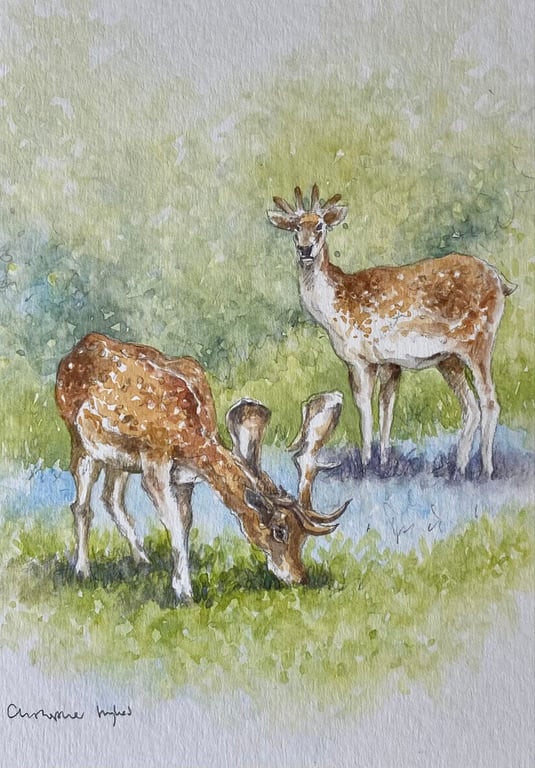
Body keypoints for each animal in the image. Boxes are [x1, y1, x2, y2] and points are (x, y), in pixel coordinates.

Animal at [55, 333, 348, 604]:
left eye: (303, 538)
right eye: (280, 531)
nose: (300, 577)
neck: (192, 439)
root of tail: (78, 347)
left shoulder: (184, 477)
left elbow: (185, 524)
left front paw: (179, 583)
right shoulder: (154, 459)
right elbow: (172, 522)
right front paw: (185, 593)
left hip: (119, 460)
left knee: (111, 498)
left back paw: (143, 561)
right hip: (80, 441)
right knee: (81, 506)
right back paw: (82, 571)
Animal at [267, 185, 517, 479]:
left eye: (320, 225)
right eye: (295, 227)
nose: (305, 249)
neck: (335, 308)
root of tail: (501, 281)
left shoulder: (360, 359)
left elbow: (365, 409)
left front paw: (366, 464)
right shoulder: (389, 363)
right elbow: (386, 409)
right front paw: (385, 463)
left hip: (479, 342)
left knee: (490, 402)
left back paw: (486, 470)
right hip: (449, 360)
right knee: (472, 407)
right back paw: (459, 468)